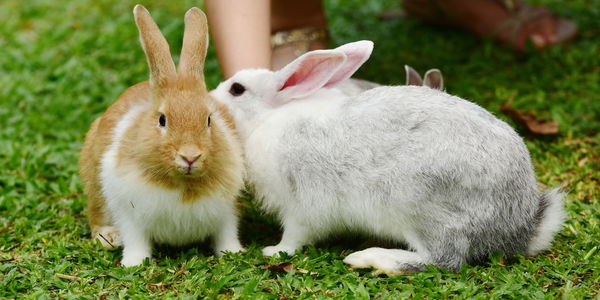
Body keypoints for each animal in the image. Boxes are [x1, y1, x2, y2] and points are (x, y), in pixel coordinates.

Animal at [79, 5, 244, 268]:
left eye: (209, 119)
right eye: (162, 120)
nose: (190, 156)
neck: (182, 183)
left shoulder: (226, 211)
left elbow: (226, 234)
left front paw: (233, 253)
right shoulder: (128, 212)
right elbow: (136, 240)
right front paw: (134, 263)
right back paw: (108, 238)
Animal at [209, 40, 564, 274]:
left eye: (237, 89)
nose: (210, 98)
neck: (269, 118)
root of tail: (521, 226)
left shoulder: (302, 205)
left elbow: (295, 236)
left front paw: (274, 250)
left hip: (424, 210)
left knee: (444, 260)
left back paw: (369, 258)